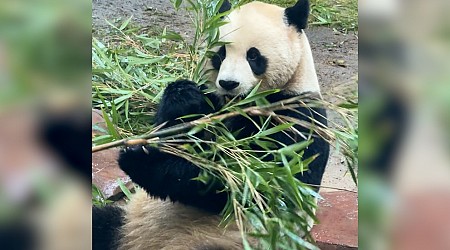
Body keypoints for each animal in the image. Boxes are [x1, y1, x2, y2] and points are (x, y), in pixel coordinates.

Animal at [92, 0, 330, 249]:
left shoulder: (295, 118)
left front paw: (140, 159)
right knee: (100, 223)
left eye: (253, 56)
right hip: (126, 223)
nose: (228, 83)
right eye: (221, 53)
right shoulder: (213, 101)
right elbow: (177, 131)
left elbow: (246, 186)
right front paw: (182, 97)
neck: (240, 104)